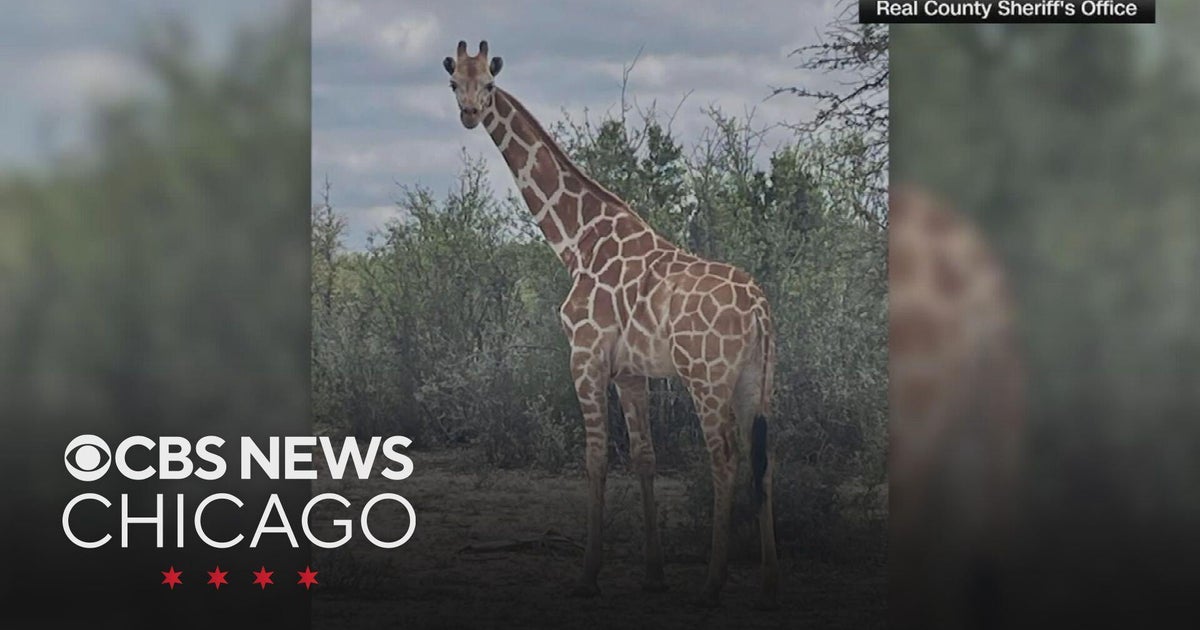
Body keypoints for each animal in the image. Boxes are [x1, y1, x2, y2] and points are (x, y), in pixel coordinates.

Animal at [443, 41, 779, 607]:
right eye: (454, 83)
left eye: (488, 82)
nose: (469, 114)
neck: (576, 241)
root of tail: (759, 309)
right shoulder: (631, 371)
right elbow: (644, 457)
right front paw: (653, 574)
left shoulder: (585, 356)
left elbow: (596, 457)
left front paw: (587, 576)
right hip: (758, 380)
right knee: (764, 458)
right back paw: (770, 582)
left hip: (707, 377)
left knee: (726, 458)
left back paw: (712, 583)